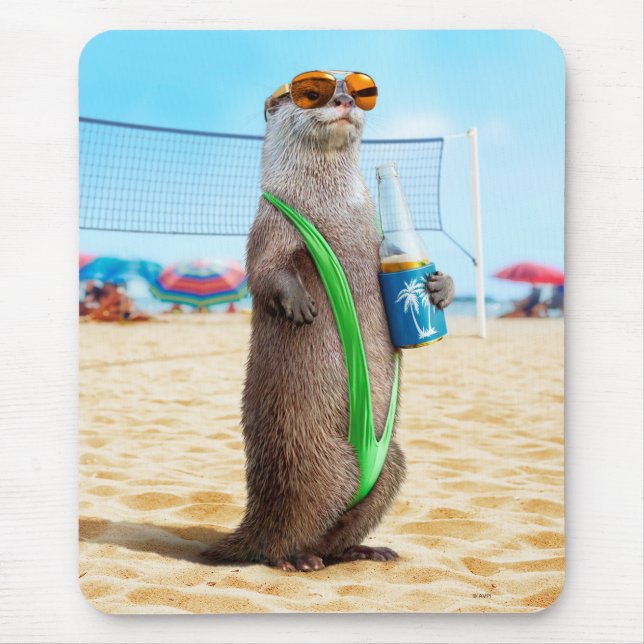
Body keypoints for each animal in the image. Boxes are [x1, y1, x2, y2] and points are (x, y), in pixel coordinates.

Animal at [202, 77, 454, 572]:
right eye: (310, 92)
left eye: (357, 90)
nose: (344, 99)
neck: (333, 209)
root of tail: (255, 517)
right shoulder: (269, 224)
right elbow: (266, 272)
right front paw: (299, 303)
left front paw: (441, 288)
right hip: (316, 464)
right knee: (284, 533)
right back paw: (295, 559)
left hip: (391, 464)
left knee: (341, 527)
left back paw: (363, 550)